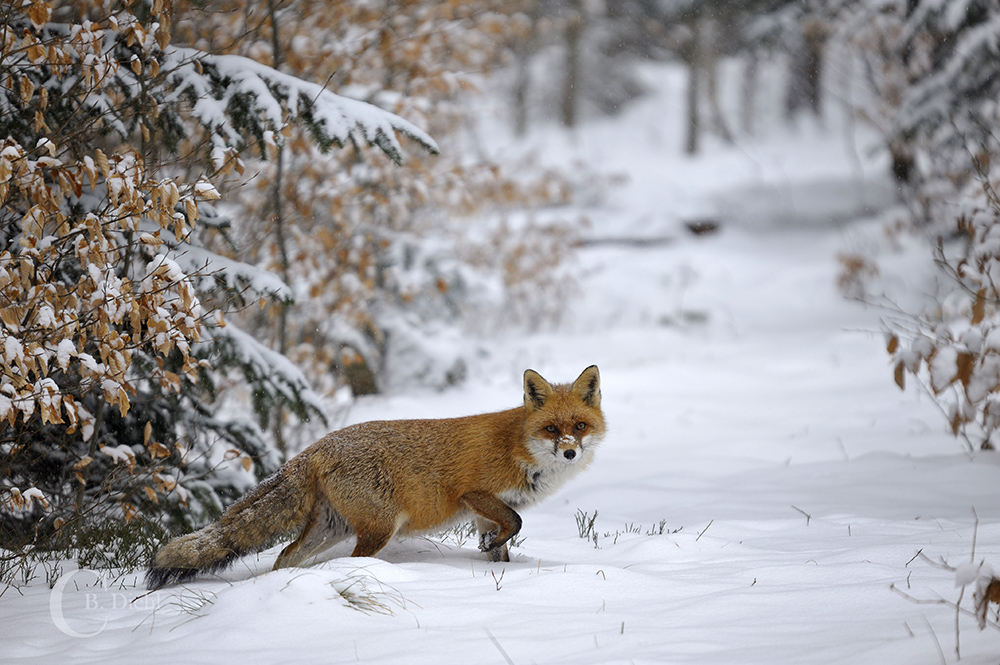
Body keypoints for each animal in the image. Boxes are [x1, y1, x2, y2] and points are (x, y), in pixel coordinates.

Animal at [146, 366, 600, 588]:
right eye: (551, 429)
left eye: (579, 426)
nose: (570, 451)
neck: (519, 447)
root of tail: (316, 447)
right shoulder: (475, 494)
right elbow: (516, 522)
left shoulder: (486, 513)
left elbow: (501, 547)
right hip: (379, 528)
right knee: (347, 561)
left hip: (332, 527)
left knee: (285, 555)